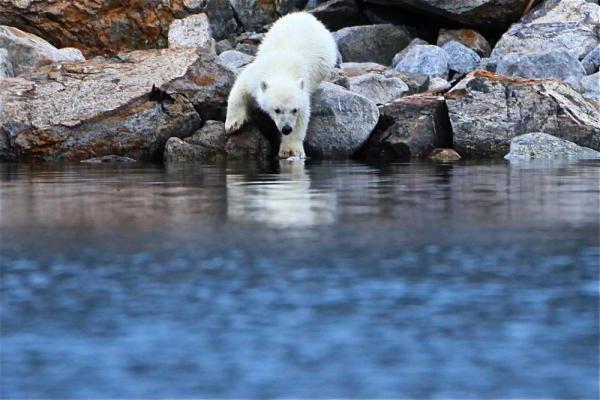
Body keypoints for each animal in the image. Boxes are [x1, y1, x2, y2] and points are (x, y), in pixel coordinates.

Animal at [224, 11, 338, 158]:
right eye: (276, 110)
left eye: (294, 109)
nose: (286, 129)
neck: (282, 67)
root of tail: (304, 14)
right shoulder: (255, 74)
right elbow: (240, 89)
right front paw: (233, 124)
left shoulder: (303, 89)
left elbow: (302, 117)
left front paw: (291, 150)